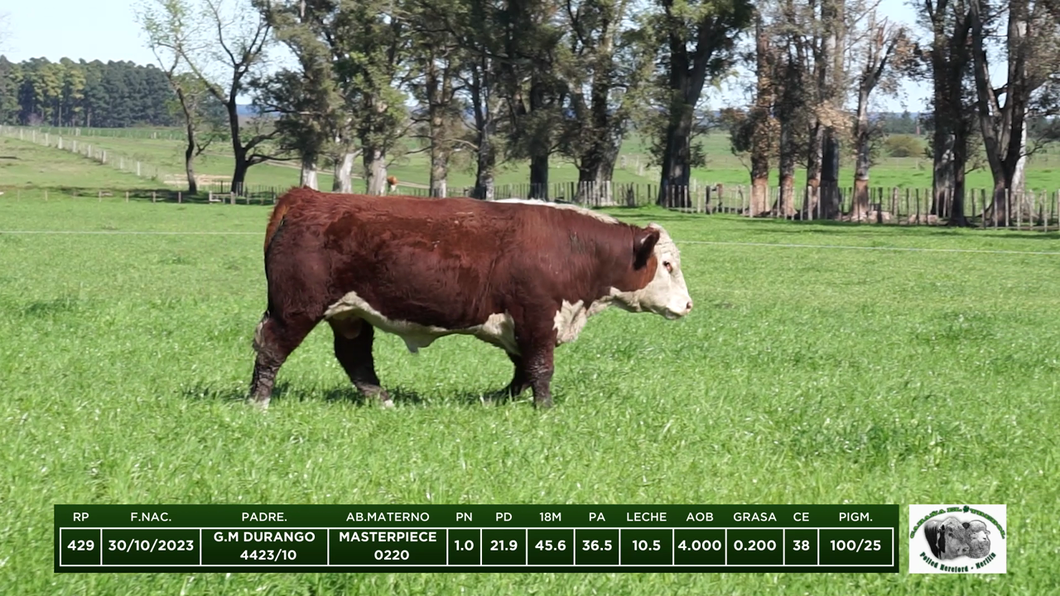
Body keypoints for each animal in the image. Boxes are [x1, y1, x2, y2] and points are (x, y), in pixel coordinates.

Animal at [248, 188, 693, 409]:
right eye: (668, 264)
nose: (688, 305)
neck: (573, 248)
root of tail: (308, 196)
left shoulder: (519, 327)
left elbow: (522, 372)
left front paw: (495, 399)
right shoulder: (537, 318)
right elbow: (541, 369)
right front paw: (545, 410)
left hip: (349, 314)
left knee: (355, 358)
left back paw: (383, 400)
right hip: (295, 308)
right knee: (271, 346)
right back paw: (258, 402)